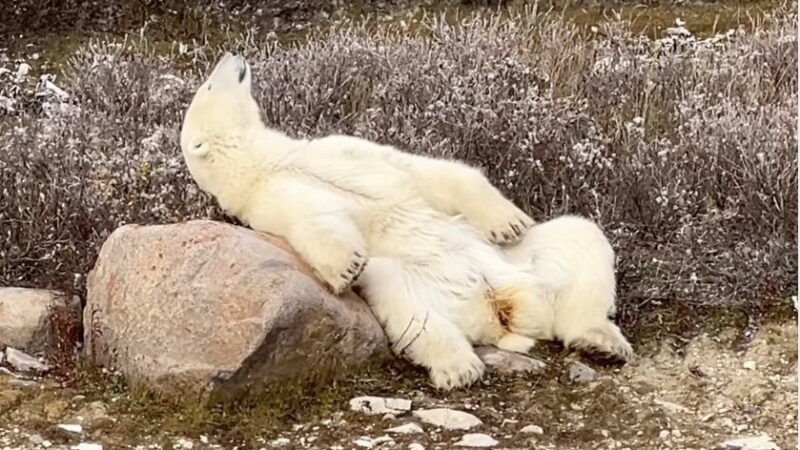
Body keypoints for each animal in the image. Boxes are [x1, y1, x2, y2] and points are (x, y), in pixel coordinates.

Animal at [180, 53, 632, 390]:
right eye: (207, 86)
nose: (232, 54)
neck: (267, 160)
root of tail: (500, 313)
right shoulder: (268, 199)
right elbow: (313, 221)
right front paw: (346, 267)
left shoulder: (341, 149)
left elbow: (424, 172)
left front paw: (508, 221)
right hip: (417, 283)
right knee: (406, 302)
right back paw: (459, 368)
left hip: (523, 263)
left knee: (582, 238)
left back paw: (601, 341)